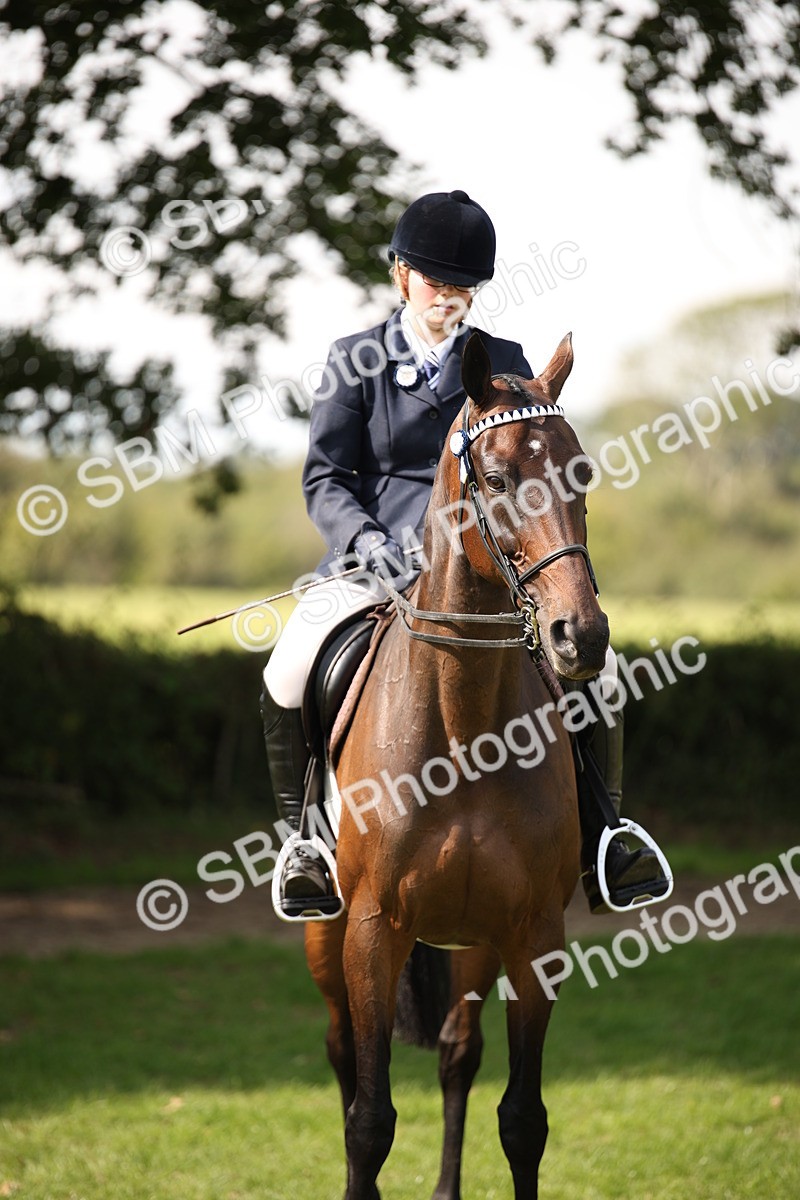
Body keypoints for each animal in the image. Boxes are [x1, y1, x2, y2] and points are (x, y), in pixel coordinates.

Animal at [304, 329, 610, 1200]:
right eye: (499, 479)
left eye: (581, 474)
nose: (582, 637)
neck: (464, 723)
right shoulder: (371, 930)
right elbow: (369, 1119)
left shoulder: (533, 933)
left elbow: (524, 1119)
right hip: (326, 934)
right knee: (343, 1056)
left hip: (475, 937)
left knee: (456, 1052)